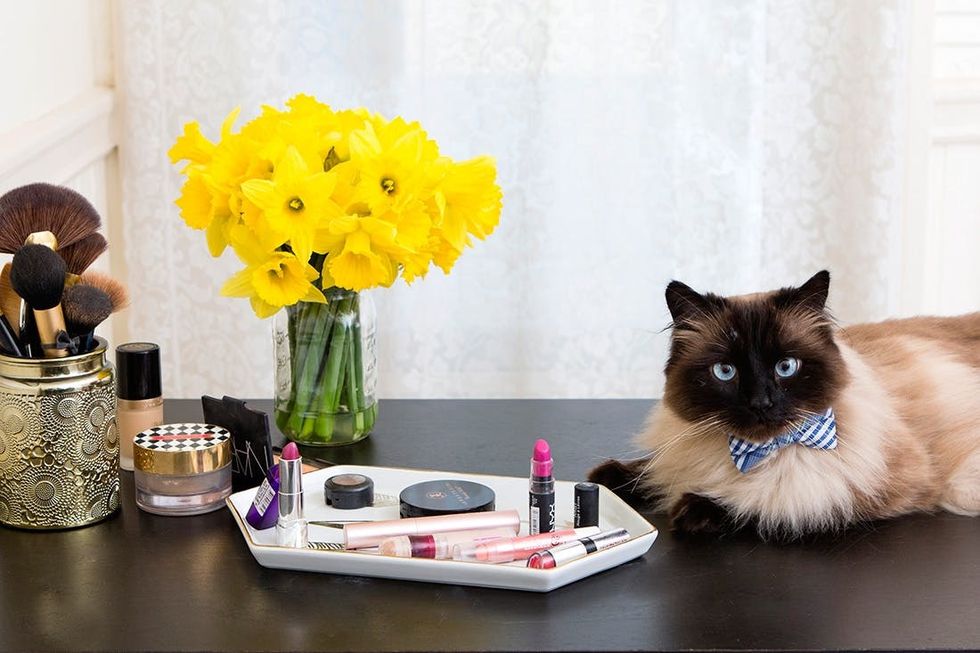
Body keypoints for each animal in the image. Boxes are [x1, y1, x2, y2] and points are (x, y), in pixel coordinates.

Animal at [589, 271, 980, 539]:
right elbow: (653, 467)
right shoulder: (680, 452)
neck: (747, 452)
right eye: (725, 371)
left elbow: (777, 501)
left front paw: (694, 509)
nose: (761, 403)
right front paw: (605, 479)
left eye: (786, 367)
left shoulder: (869, 485)